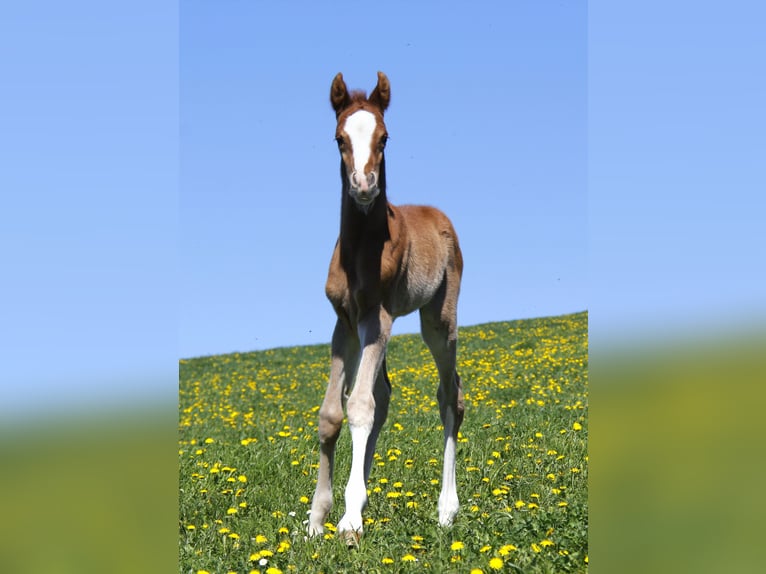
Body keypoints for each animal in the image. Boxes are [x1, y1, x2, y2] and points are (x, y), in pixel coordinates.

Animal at [307, 71, 465, 543]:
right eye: (339, 137)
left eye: (385, 137)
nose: (364, 185)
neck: (361, 249)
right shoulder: (345, 322)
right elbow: (333, 413)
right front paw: (317, 518)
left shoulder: (376, 318)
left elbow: (359, 407)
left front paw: (349, 520)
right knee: (385, 394)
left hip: (439, 320)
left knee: (450, 395)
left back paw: (446, 509)